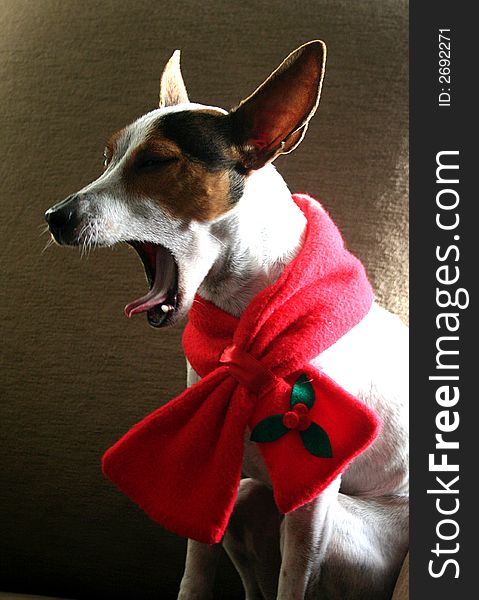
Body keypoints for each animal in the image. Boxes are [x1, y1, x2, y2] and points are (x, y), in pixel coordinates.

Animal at [46, 42, 408, 600]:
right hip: (245, 498)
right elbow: (197, 566)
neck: (243, 323)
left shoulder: (311, 503)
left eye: (155, 161)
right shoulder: (215, 469)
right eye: (108, 158)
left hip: (338, 536)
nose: (54, 217)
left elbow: (292, 581)